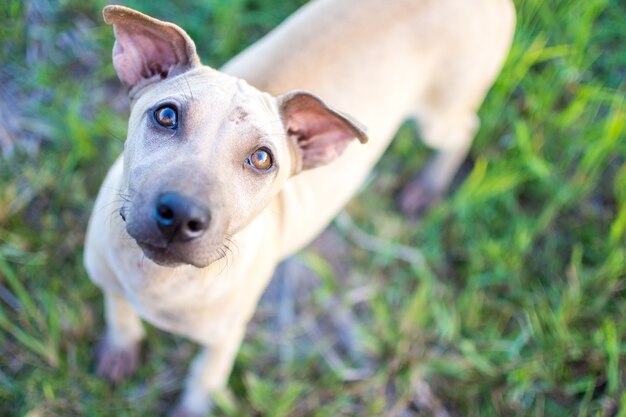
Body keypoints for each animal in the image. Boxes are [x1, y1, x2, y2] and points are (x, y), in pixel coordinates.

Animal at [83, 1, 512, 414]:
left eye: (261, 159)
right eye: (166, 115)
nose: (181, 215)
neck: (158, 280)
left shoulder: (225, 338)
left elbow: (205, 379)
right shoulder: (108, 278)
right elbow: (119, 315)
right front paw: (119, 352)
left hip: (441, 114)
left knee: (464, 131)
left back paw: (427, 188)